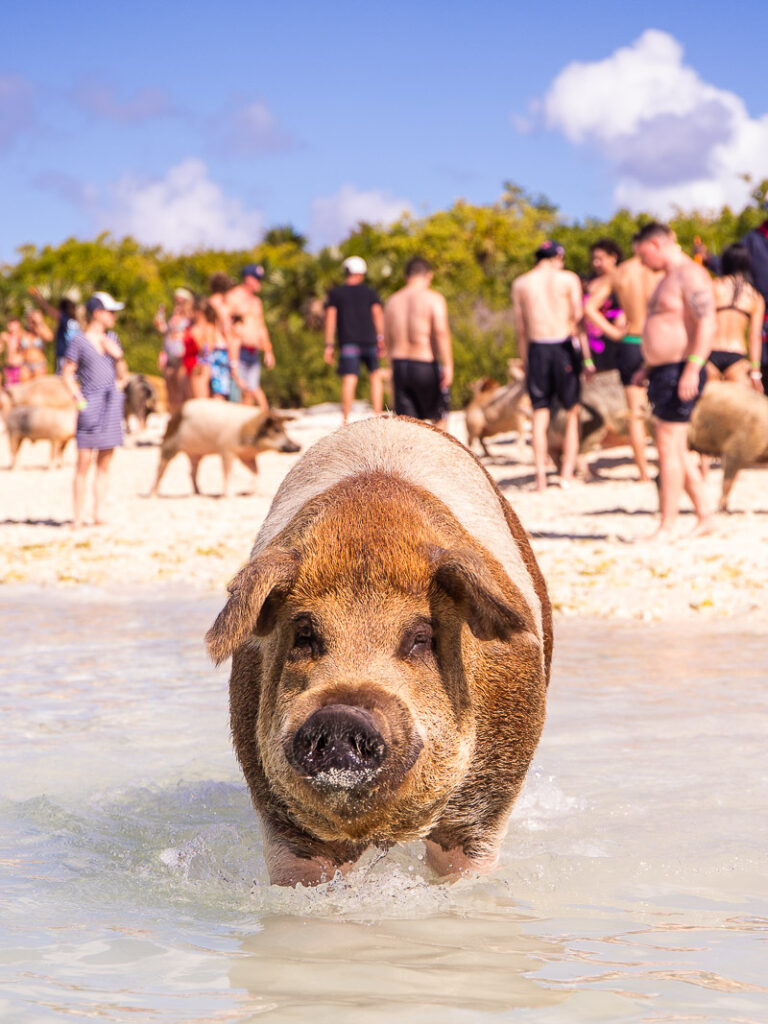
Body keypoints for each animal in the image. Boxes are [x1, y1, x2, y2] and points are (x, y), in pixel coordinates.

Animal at [148, 397, 299, 497]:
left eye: (284, 429)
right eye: (276, 430)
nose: (297, 446)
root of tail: (175, 415)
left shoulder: (245, 455)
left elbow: (256, 471)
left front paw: (249, 492)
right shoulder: (226, 448)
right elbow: (228, 472)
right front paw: (228, 496)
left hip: (196, 453)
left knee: (192, 471)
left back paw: (198, 493)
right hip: (169, 444)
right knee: (161, 467)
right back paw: (154, 494)